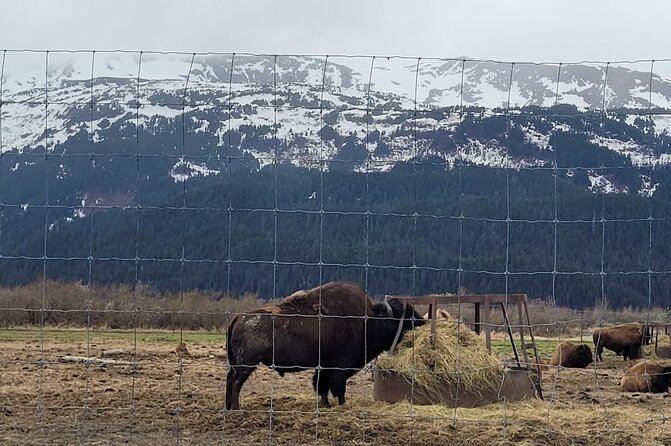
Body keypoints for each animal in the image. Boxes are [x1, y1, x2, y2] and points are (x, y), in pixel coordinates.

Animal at [228, 282, 422, 412]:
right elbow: (337, 387)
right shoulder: (340, 368)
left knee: (230, 380)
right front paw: (340, 404)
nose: (421, 322)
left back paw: (228, 407)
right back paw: (236, 409)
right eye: (404, 315)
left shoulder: (325, 367)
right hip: (246, 364)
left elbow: (322, 386)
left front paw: (325, 404)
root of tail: (238, 318)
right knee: (236, 383)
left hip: (238, 364)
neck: (369, 321)